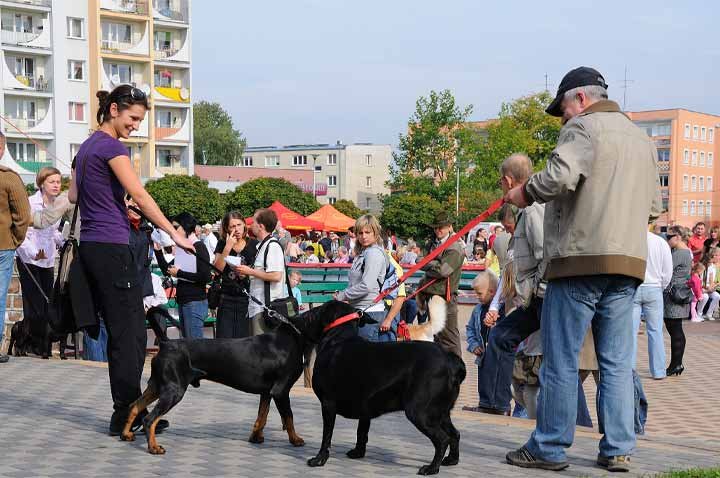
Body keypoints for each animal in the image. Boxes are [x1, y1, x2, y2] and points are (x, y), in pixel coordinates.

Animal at [121, 308, 306, 454]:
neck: (290, 336)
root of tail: (166, 343)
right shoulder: (281, 391)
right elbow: (288, 416)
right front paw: (295, 439)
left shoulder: (267, 392)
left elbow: (262, 414)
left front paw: (256, 437)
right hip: (173, 390)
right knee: (149, 419)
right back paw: (153, 447)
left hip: (157, 386)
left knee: (134, 406)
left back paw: (126, 434)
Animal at [300, 302, 464, 474]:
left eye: (316, 311)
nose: (302, 316)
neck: (338, 338)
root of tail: (451, 359)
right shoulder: (364, 406)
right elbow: (362, 431)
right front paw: (358, 452)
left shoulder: (328, 404)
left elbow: (326, 436)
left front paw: (319, 459)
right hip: (441, 412)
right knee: (455, 434)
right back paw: (451, 460)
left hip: (420, 412)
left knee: (442, 439)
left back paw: (432, 468)